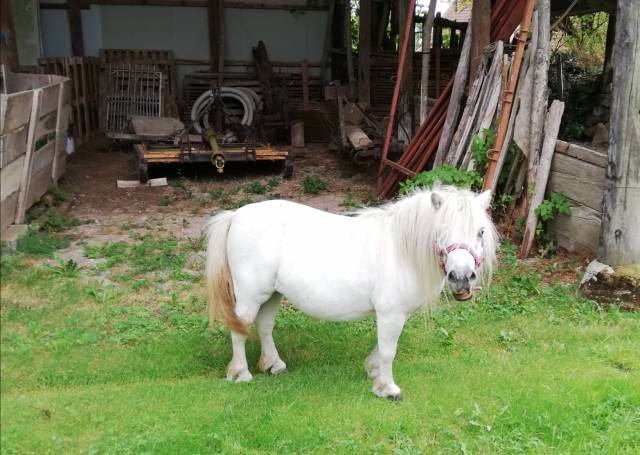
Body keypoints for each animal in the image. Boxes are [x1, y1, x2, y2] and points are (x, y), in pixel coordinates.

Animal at [205, 186, 498, 399]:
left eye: (480, 232)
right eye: (440, 231)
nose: (461, 277)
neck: (401, 249)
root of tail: (235, 215)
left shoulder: (392, 315)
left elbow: (383, 346)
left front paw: (374, 371)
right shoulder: (390, 313)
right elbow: (389, 350)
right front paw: (388, 389)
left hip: (272, 294)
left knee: (265, 326)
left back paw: (274, 365)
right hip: (250, 296)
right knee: (240, 330)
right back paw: (241, 373)